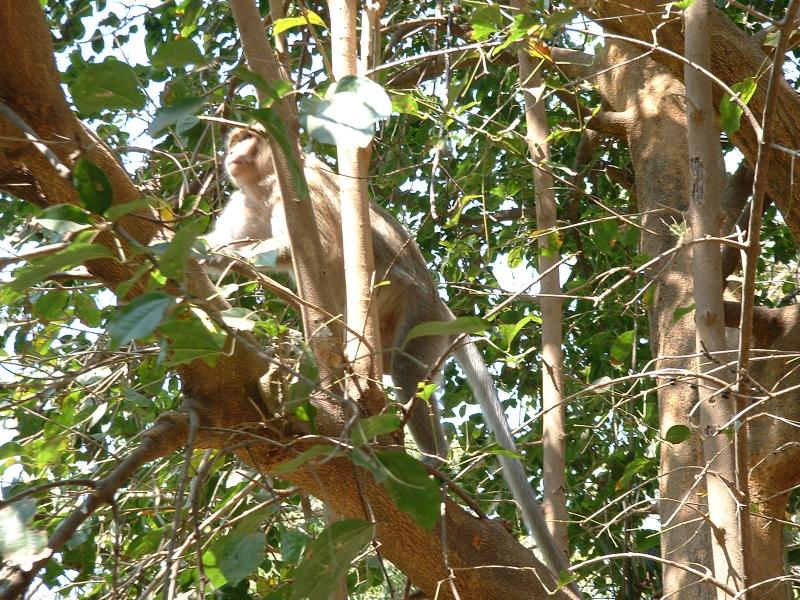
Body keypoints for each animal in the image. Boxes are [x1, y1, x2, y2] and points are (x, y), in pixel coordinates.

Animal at [203, 125, 572, 576]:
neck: (264, 184)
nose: (233, 153)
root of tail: (439, 302)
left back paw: (435, 461)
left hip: (419, 313)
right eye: (234, 140)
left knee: (407, 371)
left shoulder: (299, 191)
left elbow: (312, 248)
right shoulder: (247, 202)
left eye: (248, 139)